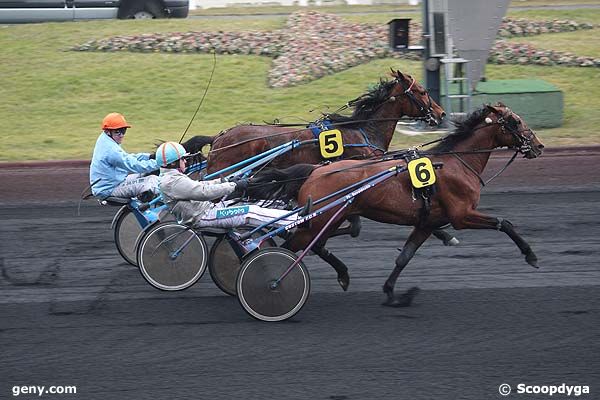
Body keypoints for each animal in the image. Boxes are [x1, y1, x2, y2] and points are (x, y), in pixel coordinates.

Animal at [248, 104, 544, 306]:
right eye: (516, 121)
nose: (539, 145)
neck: (457, 163)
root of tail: (315, 171)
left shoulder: (428, 222)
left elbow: (405, 257)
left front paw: (392, 293)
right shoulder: (462, 215)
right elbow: (504, 223)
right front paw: (530, 255)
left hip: (328, 218)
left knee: (313, 245)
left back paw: (342, 274)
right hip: (320, 220)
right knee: (290, 249)